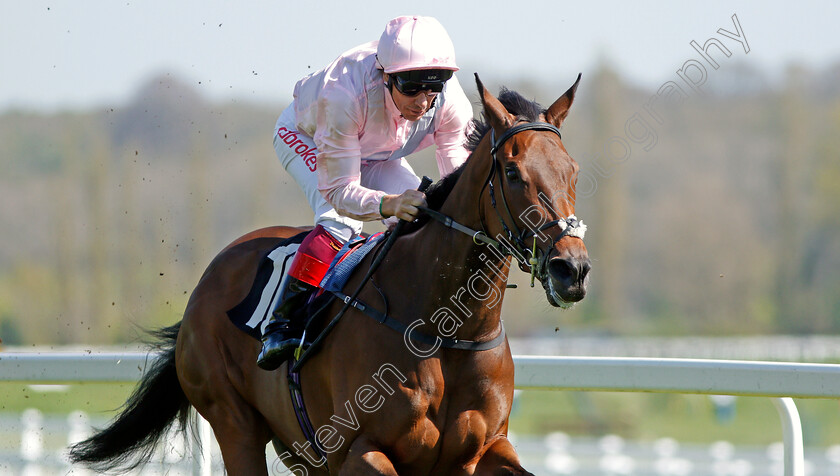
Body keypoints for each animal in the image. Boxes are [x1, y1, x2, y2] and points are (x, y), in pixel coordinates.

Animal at [67, 73, 592, 472]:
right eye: (512, 172)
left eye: (573, 170)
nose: (572, 269)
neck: (446, 330)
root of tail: (207, 281)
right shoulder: (360, 451)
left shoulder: (482, 450)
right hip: (235, 423)